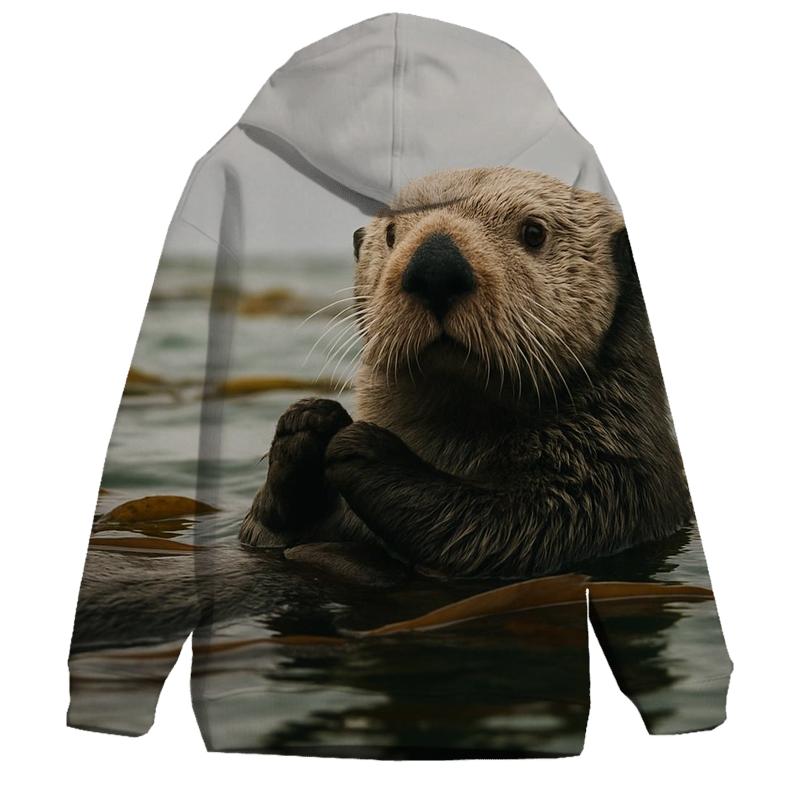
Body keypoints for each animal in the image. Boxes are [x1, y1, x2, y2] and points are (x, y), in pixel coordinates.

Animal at [239, 167, 692, 578]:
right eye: (390, 234)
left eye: (534, 232)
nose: (435, 268)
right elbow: (258, 534)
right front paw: (307, 424)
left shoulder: (612, 479)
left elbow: (519, 528)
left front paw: (361, 446)